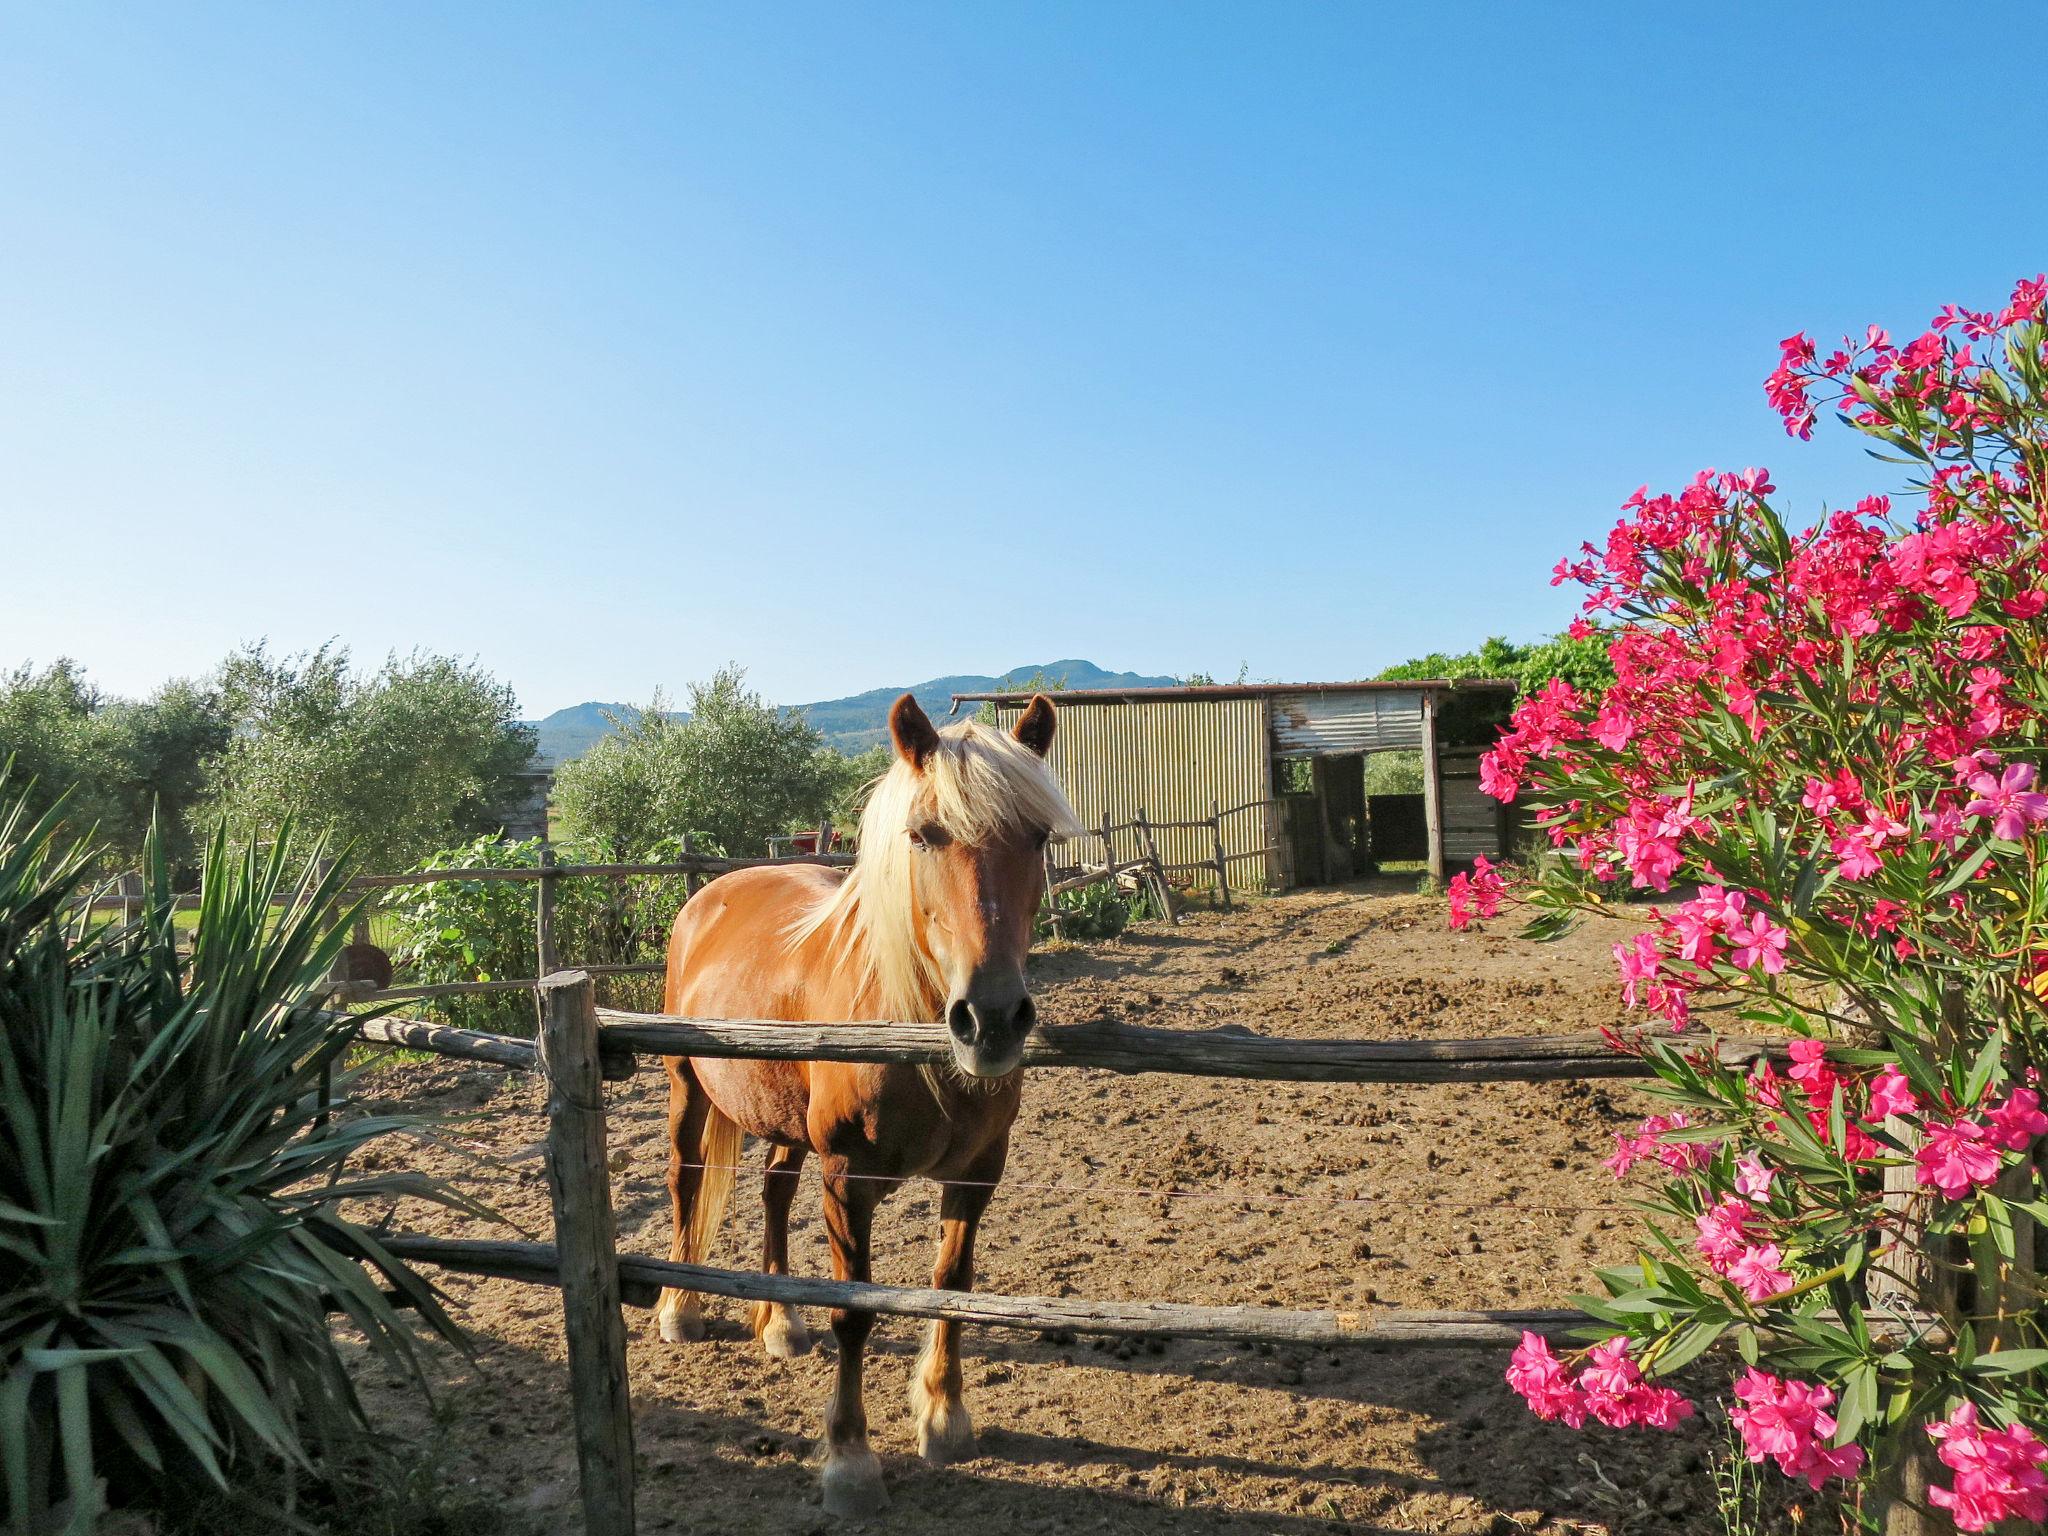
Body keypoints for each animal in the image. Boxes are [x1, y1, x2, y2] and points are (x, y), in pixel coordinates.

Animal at [655, 692, 1081, 1523]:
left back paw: (782, 1324)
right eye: (922, 834)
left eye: (1038, 836)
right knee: (687, 1180)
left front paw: (945, 1418)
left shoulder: (977, 1175)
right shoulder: (848, 1179)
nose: (991, 1019)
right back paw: (680, 1310)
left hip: (783, 1120)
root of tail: (706, 897)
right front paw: (850, 1462)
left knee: (773, 1191)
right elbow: (853, 1311)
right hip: (689, 1087)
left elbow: (952, 1285)